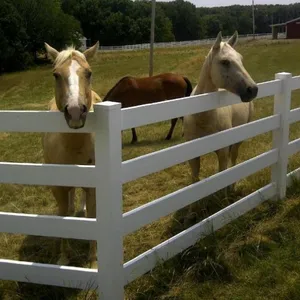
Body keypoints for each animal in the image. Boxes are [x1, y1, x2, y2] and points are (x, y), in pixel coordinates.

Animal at [42, 40, 101, 268]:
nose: (75, 111)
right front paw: (63, 256)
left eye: (89, 73)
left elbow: (93, 216)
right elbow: (63, 216)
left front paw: (93, 262)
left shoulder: (93, 187)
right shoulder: (58, 188)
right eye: (56, 75)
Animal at [185, 30, 258, 190]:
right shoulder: (193, 156)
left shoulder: (222, 152)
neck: (202, 118)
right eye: (225, 62)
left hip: (237, 141)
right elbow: (195, 179)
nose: (253, 89)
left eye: (240, 59)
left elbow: (222, 175)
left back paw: (233, 186)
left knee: (234, 158)